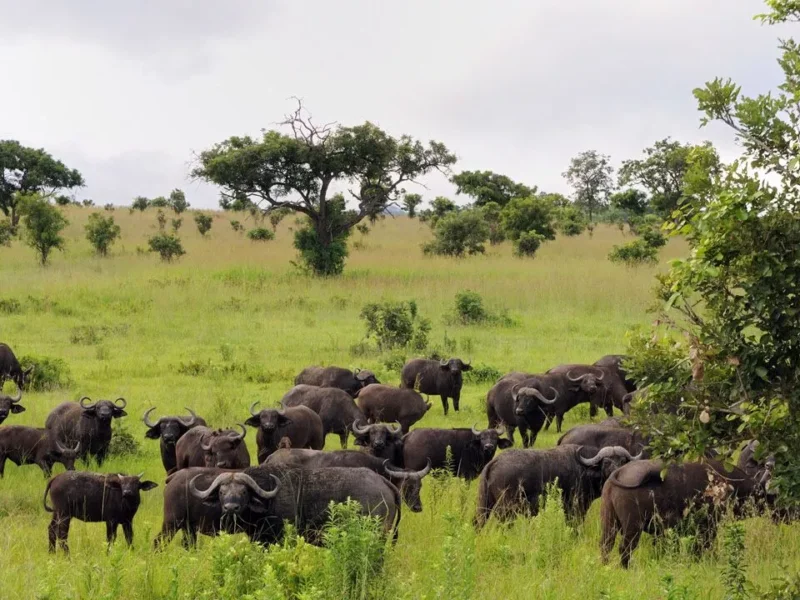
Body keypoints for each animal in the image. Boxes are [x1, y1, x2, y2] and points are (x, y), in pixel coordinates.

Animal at [475, 444, 641, 528]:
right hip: (506, 508)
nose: (617, 471)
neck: (585, 468)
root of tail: (494, 462)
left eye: (622, 460)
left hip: (484, 505)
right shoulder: (576, 506)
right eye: (606, 462)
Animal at [600, 459, 771, 568]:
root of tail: (619, 471)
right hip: (632, 528)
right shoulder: (708, 528)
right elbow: (701, 547)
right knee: (624, 548)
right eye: (761, 494)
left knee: (606, 546)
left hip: (609, 523)